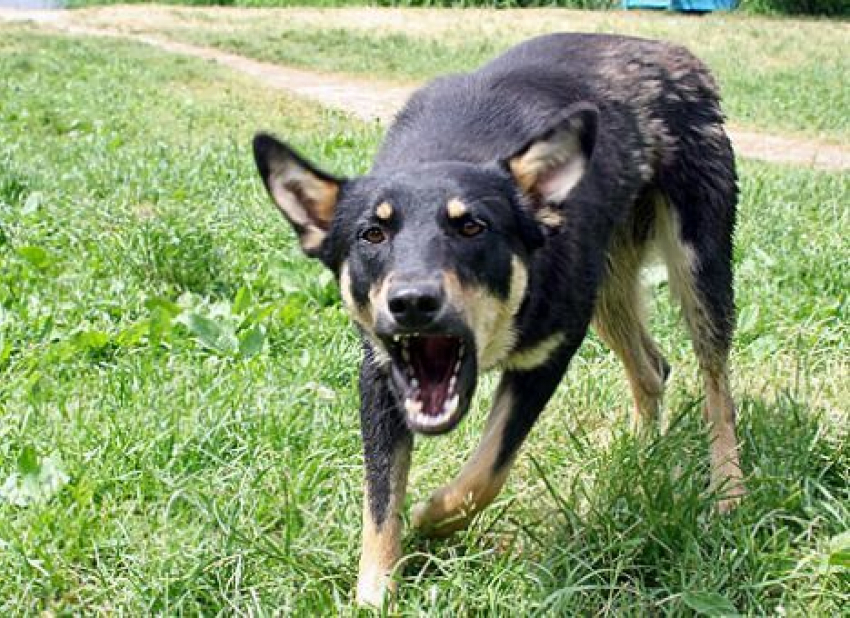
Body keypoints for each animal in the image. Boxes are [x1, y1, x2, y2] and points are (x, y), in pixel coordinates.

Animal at [250, 32, 744, 600]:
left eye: (472, 227)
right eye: (372, 234)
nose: (412, 302)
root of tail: (671, 50)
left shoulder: (549, 352)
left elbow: (486, 471)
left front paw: (432, 517)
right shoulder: (379, 372)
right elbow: (379, 499)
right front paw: (374, 593)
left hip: (697, 264)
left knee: (716, 385)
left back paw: (728, 486)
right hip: (606, 284)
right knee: (652, 367)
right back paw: (640, 457)